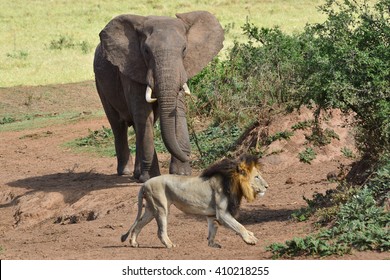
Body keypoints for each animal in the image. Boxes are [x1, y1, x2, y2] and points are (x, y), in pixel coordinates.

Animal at [92, 10, 224, 183]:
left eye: (184, 49)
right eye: (146, 51)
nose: (194, 157)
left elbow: (176, 110)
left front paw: (181, 174)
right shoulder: (130, 67)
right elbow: (143, 114)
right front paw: (150, 177)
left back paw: (137, 174)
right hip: (100, 84)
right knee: (118, 125)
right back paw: (126, 172)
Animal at [121, 154, 268, 248]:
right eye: (256, 177)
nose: (267, 186)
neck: (232, 182)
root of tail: (145, 184)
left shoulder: (211, 214)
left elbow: (213, 228)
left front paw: (212, 244)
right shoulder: (222, 213)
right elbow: (239, 226)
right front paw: (250, 239)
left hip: (151, 209)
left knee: (139, 224)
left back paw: (133, 243)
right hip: (161, 207)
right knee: (160, 231)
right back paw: (170, 244)